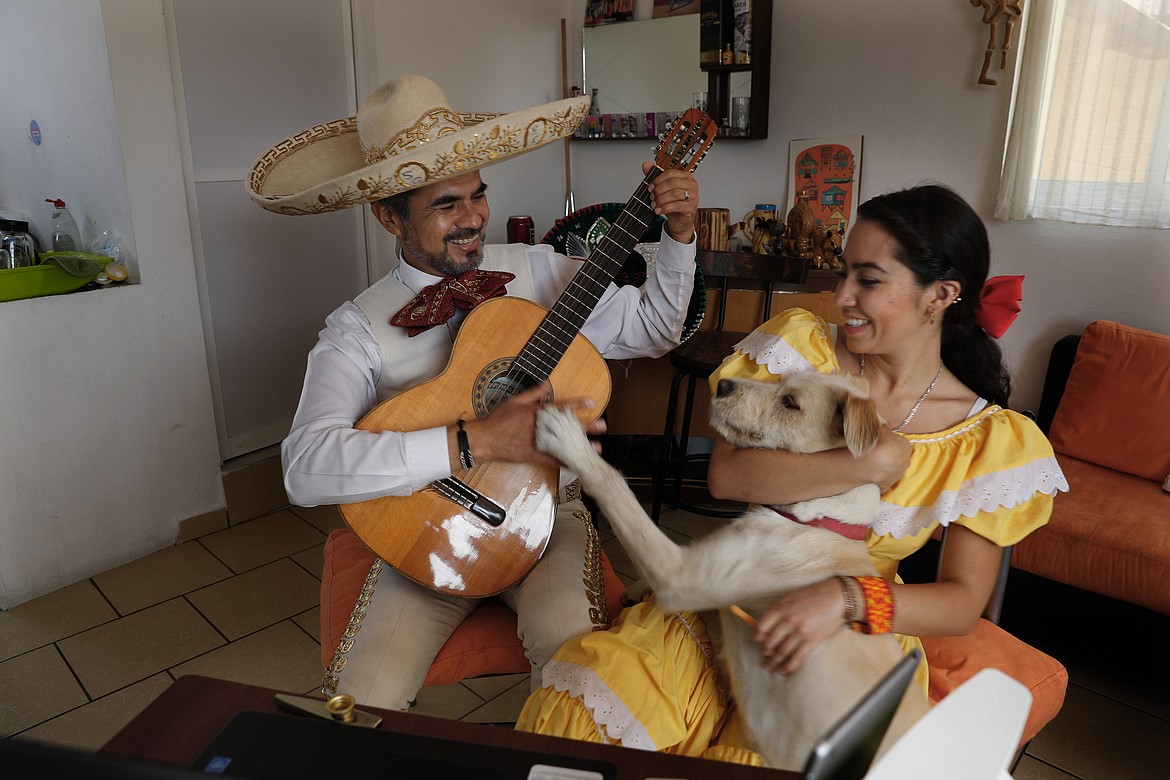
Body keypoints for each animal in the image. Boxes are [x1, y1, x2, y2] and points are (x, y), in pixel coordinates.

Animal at [535, 371, 926, 767]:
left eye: (791, 403)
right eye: (782, 379)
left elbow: (618, 490)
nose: (722, 384)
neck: (823, 518)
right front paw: (636, 588)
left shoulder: (681, 575)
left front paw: (570, 440)